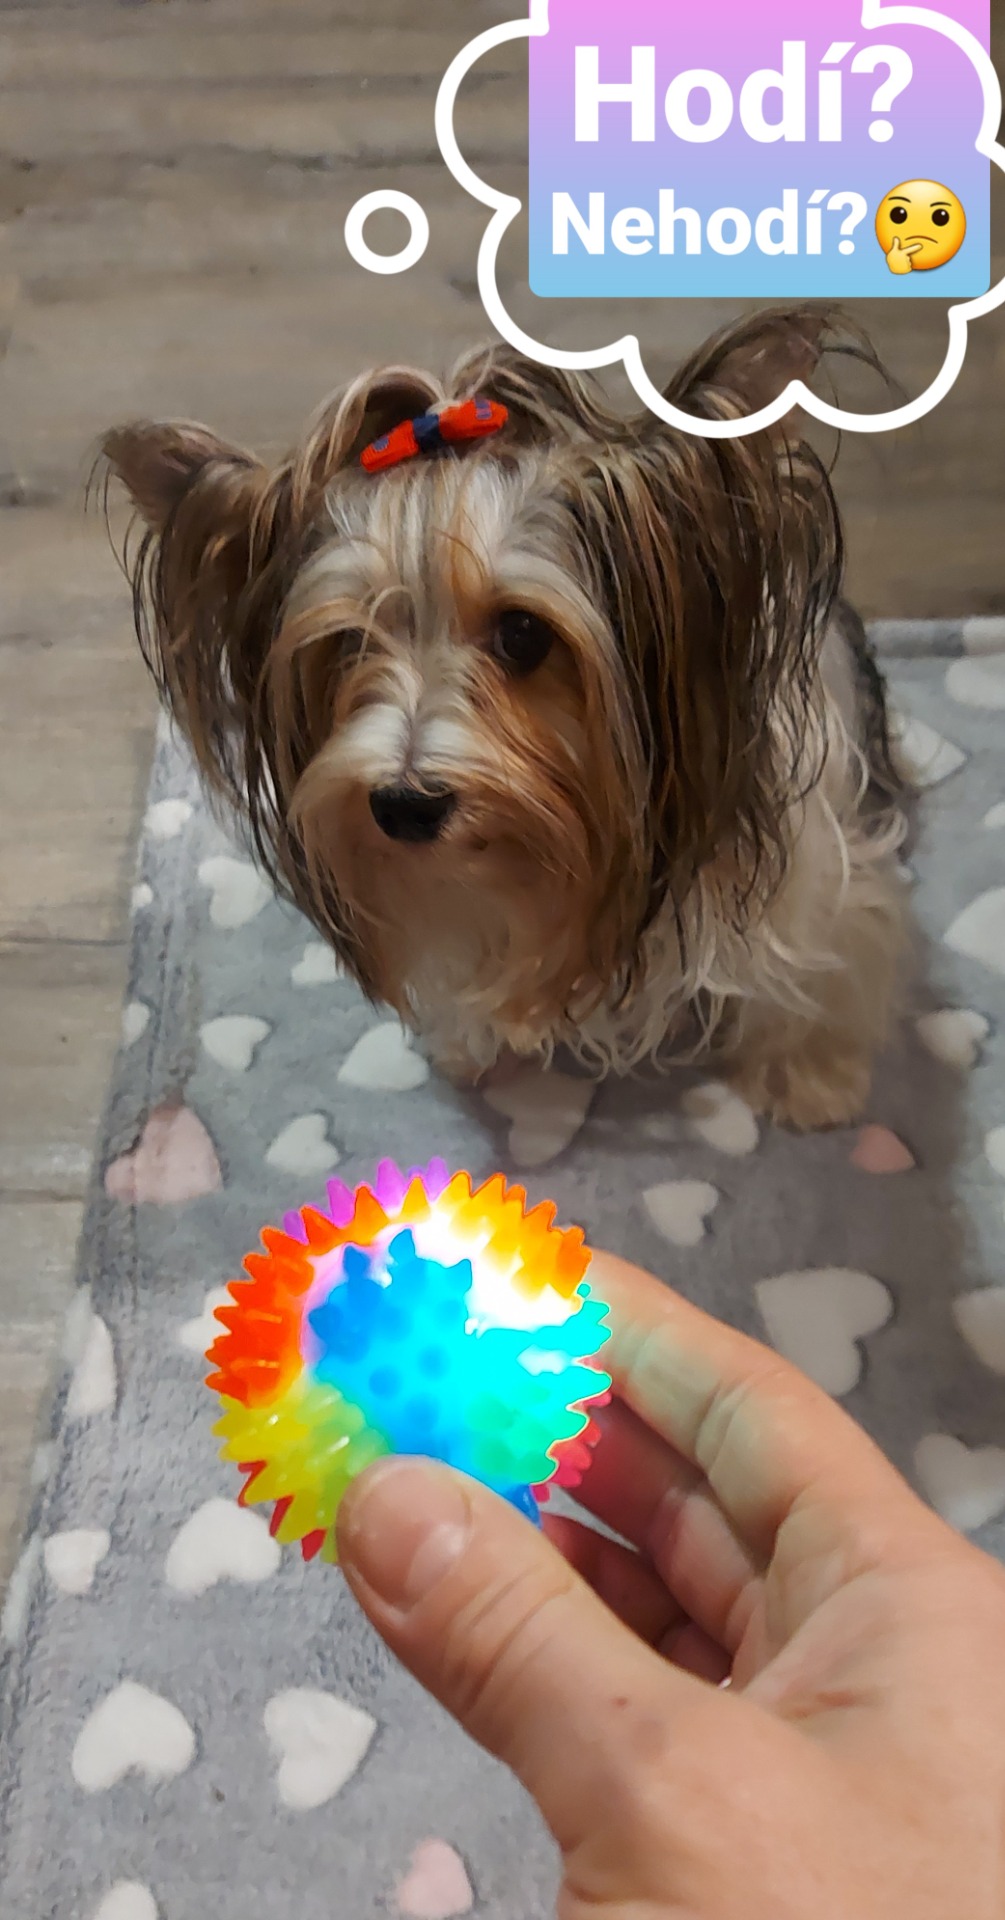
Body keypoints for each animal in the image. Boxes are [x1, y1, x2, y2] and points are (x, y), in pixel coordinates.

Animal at [102, 305, 908, 1129]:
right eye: (349, 642)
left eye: (522, 633)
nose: (402, 805)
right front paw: (474, 1040)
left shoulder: (811, 869)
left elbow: (826, 957)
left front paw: (808, 1079)